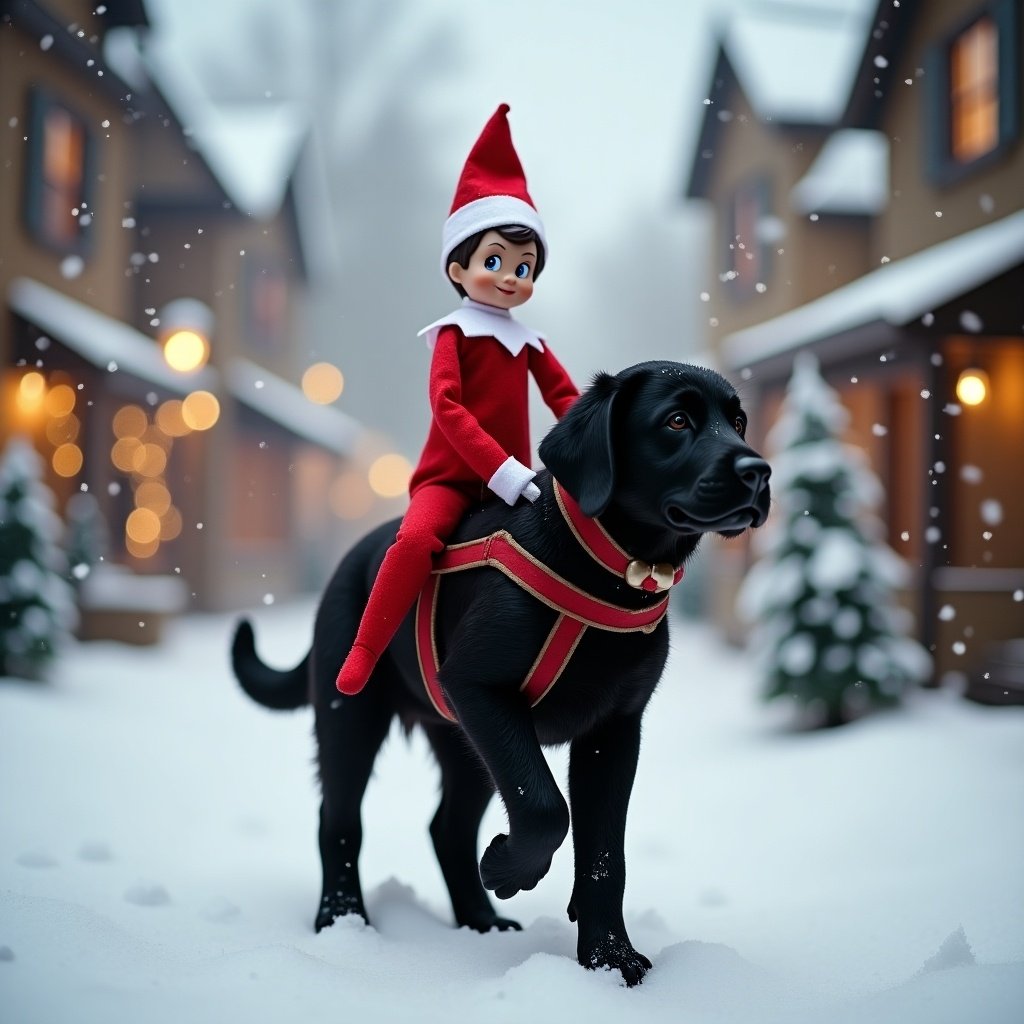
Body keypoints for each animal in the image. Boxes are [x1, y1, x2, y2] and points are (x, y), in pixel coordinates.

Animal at [228, 360, 765, 983]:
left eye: (739, 422)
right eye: (676, 420)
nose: (759, 471)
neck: (604, 570)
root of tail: (352, 559)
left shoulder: (614, 728)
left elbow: (606, 853)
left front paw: (609, 961)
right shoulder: (480, 689)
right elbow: (545, 809)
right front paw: (509, 870)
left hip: (467, 745)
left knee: (446, 828)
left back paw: (479, 922)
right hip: (353, 714)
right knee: (338, 818)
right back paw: (343, 923)